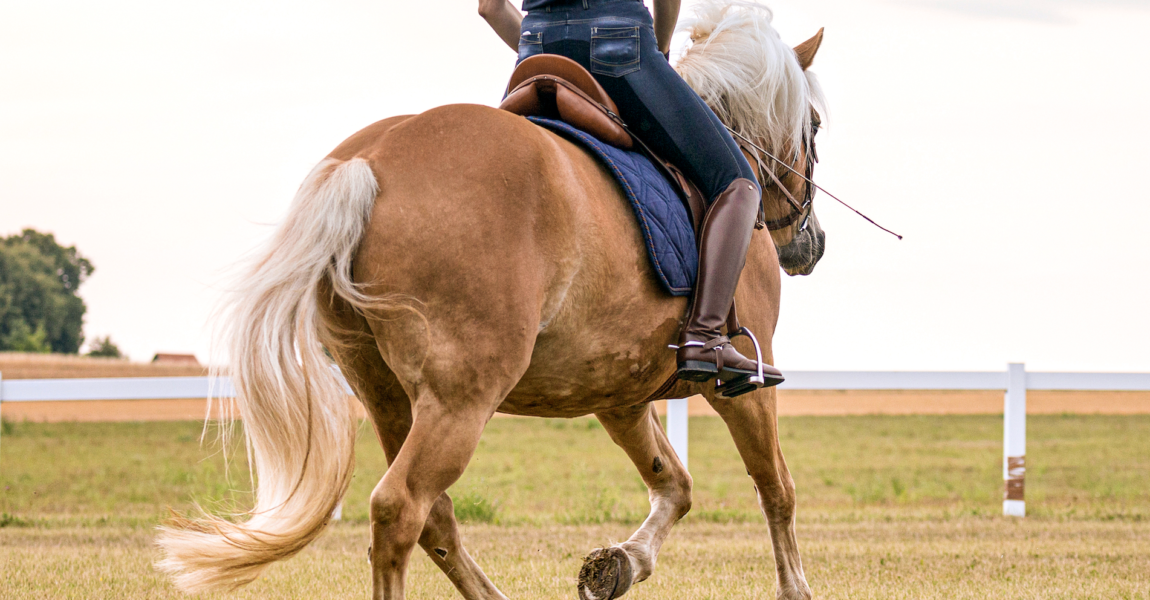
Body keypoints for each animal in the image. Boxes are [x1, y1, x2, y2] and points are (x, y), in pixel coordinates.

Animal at [159, 4, 828, 597]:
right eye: (816, 125)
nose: (810, 243)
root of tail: (367, 161)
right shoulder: (745, 381)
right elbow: (777, 487)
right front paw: (794, 589)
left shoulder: (620, 397)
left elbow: (676, 485)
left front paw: (618, 564)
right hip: (462, 398)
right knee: (400, 508)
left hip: (388, 396)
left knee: (434, 515)